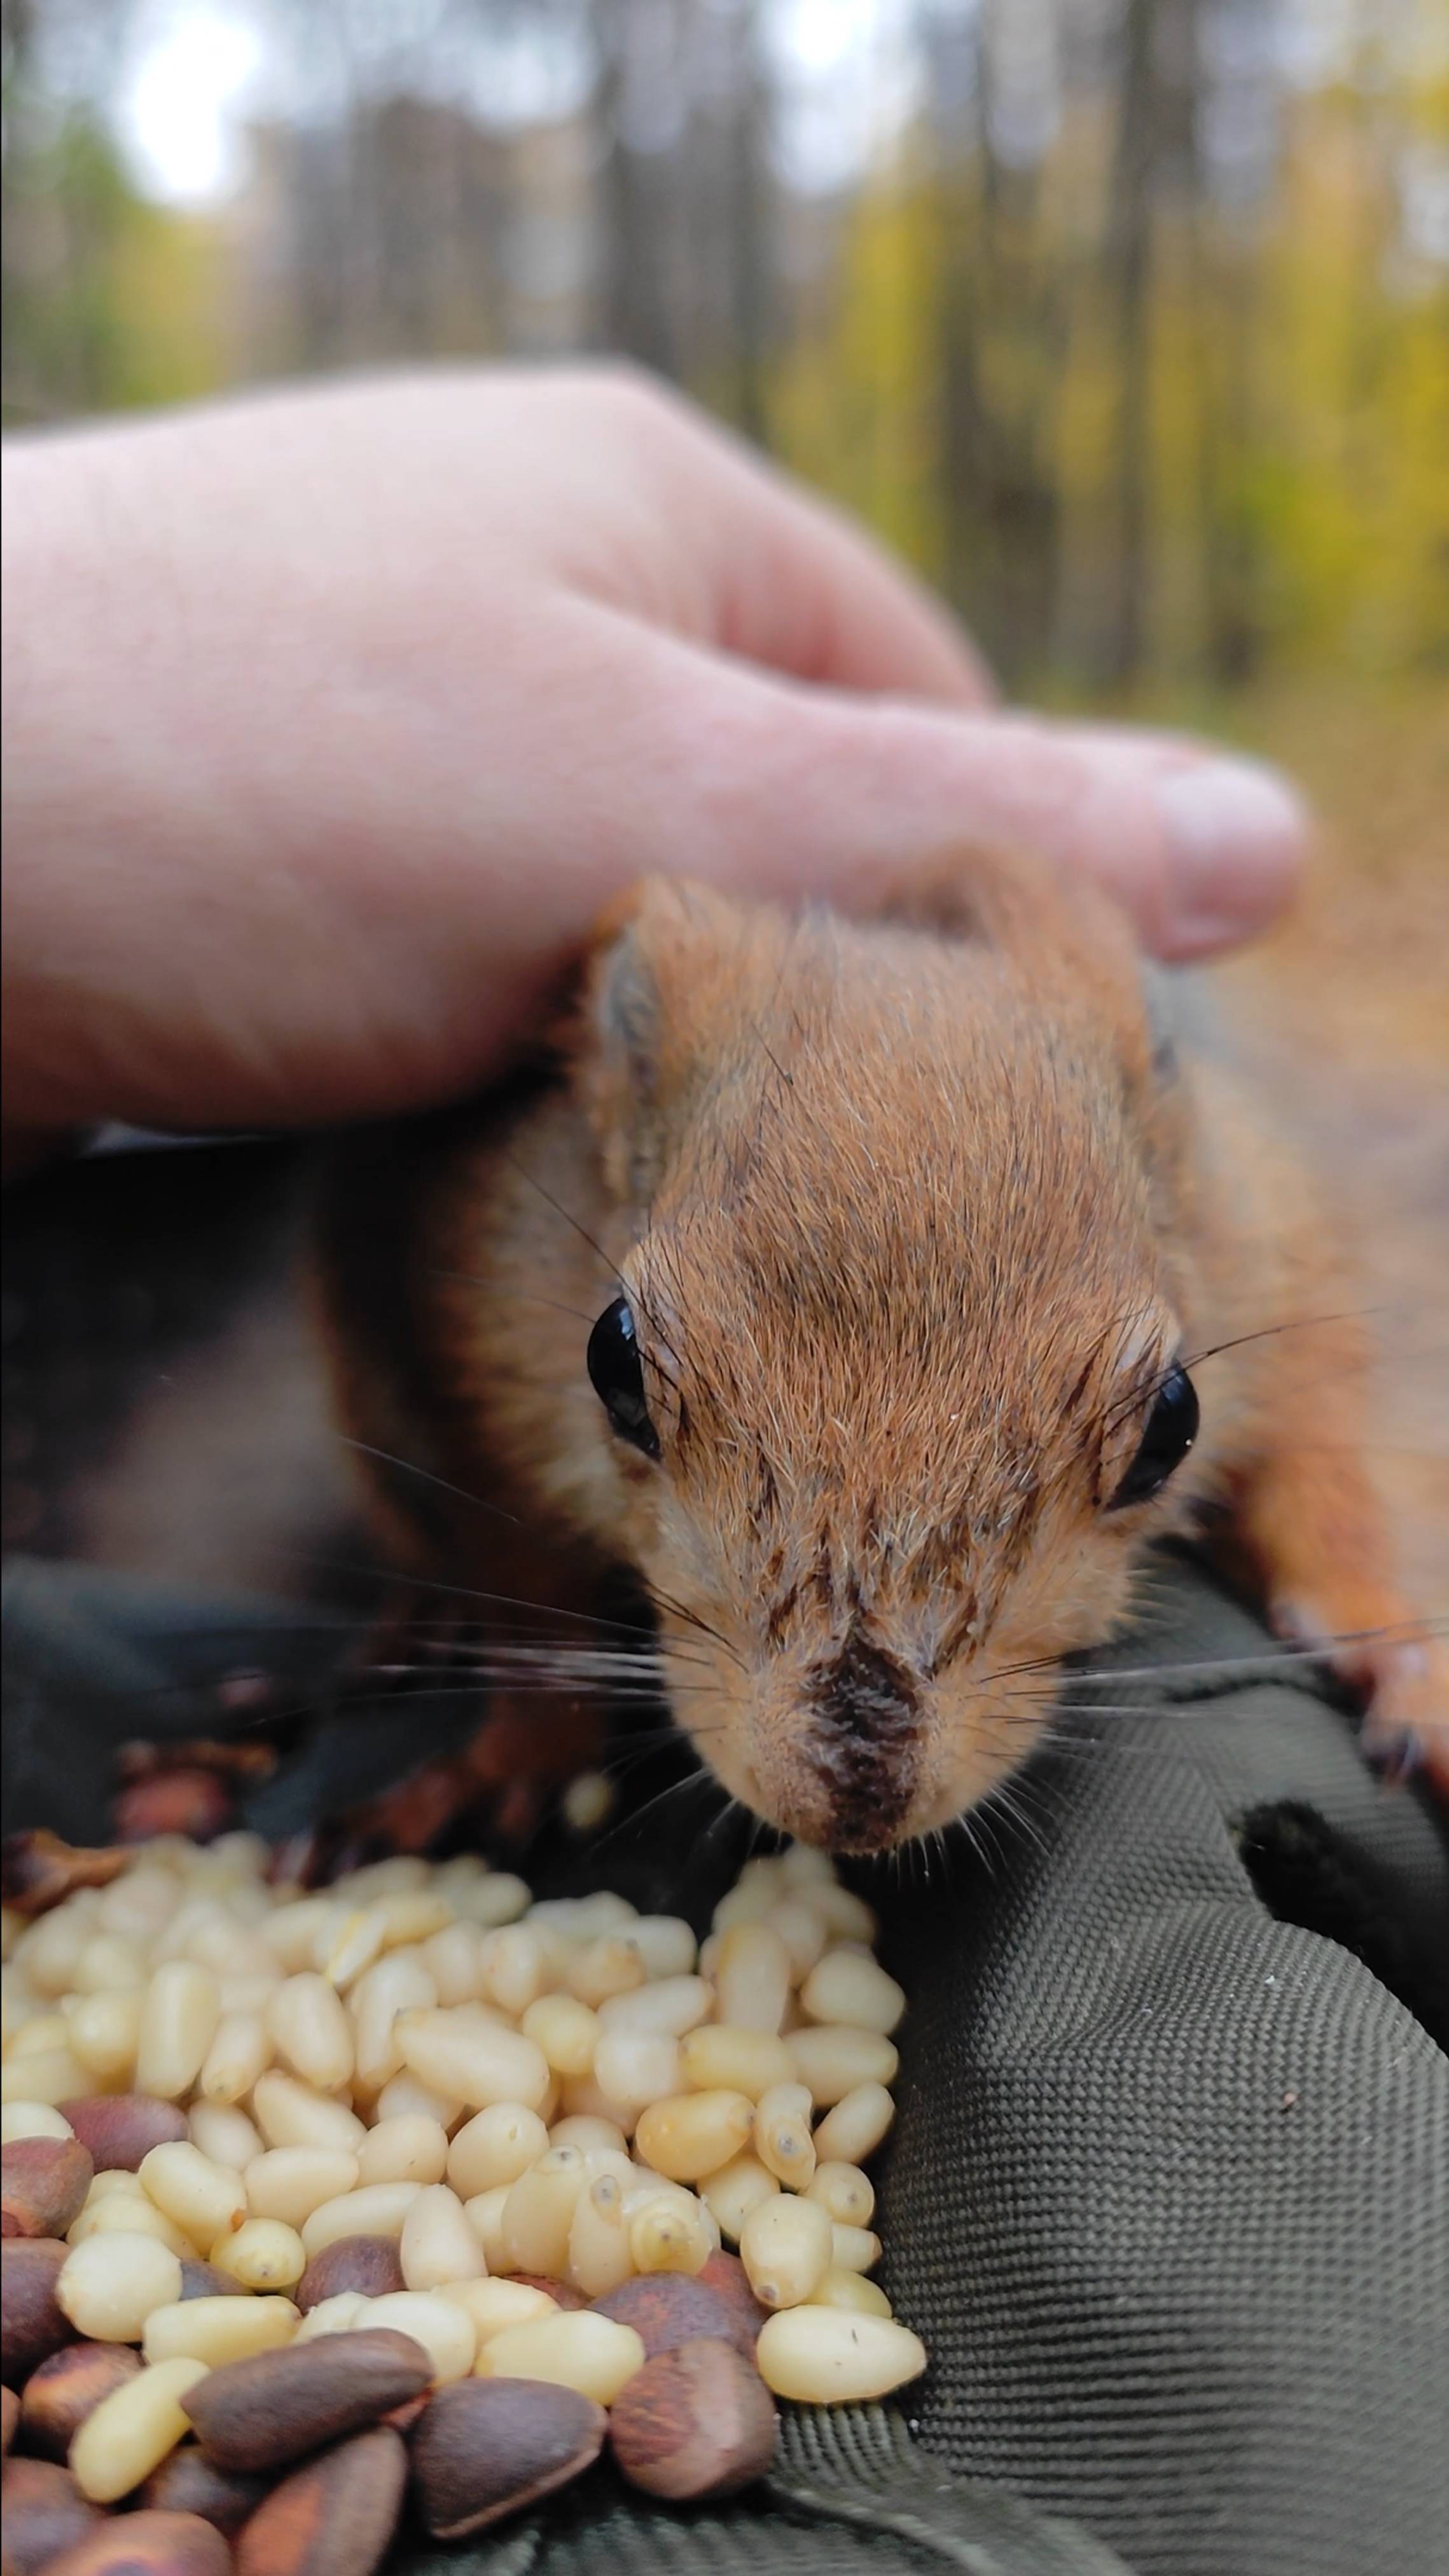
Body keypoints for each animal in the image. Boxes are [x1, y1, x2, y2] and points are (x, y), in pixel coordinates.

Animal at [313, 847, 1447, 1854]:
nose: (854, 1787)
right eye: (613, 1362)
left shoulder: (1268, 1252)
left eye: (1174, 1421)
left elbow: (1314, 1479)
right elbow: (523, 1591)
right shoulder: (464, 1357)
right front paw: (515, 1753)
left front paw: (1402, 1657)